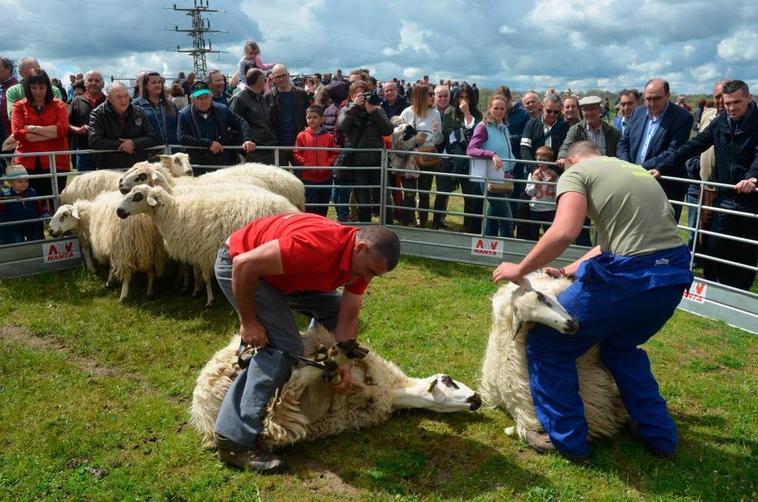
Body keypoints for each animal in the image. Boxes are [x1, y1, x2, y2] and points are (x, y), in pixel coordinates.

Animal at [117, 184, 298, 306]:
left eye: (138, 196)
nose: (119, 211)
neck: (175, 214)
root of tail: (291, 208)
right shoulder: (197, 249)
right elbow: (197, 273)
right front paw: (196, 291)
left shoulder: (205, 251)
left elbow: (205, 276)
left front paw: (209, 300)